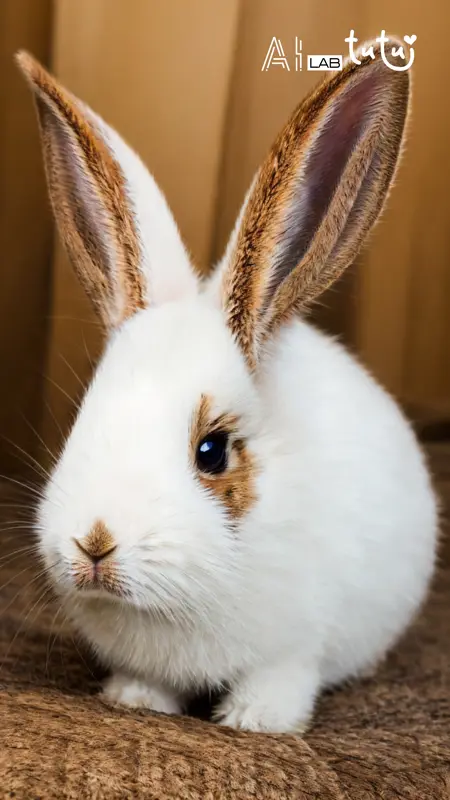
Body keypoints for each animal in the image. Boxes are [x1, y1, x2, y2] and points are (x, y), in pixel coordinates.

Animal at [17, 42, 438, 734]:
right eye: (81, 421)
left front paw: (254, 721)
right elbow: (148, 686)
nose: (95, 542)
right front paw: (132, 700)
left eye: (211, 452)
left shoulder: (295, 651)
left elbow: (281, 682)